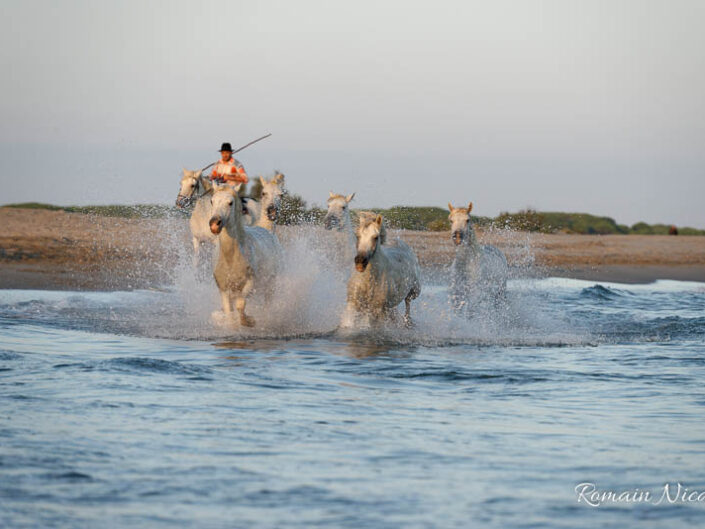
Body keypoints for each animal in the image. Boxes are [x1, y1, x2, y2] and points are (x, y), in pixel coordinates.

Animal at [208, 185, 282, 326]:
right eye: (212, 201)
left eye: (230, 203)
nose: (214, 223)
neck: (231, 258)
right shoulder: (224, 289)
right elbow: (229, 312)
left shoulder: (250, 284)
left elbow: (240, 305)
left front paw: (249, 321)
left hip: (270, 284)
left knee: (267, 303)